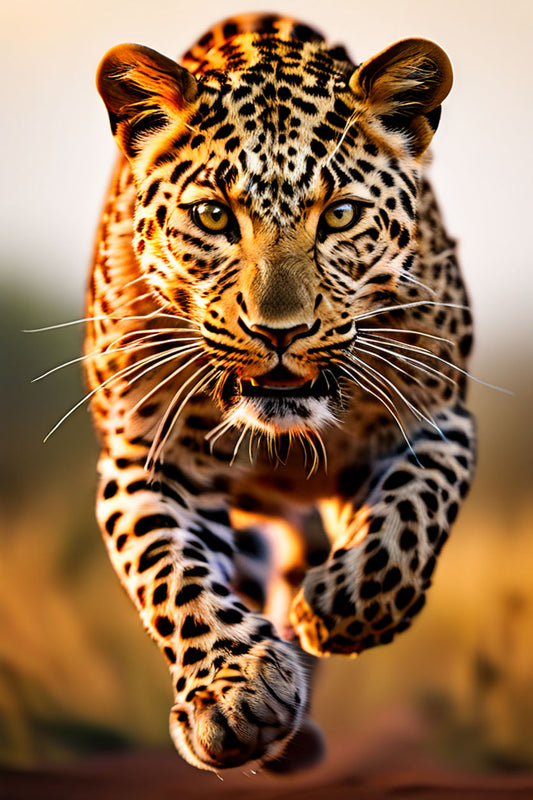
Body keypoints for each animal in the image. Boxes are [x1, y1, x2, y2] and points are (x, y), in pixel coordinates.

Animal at [85, 12, 476, 776]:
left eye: (341, 216)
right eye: (212, 216)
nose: (279, 331)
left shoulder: (438, 415)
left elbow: (412, 512)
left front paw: (345, 606)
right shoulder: (148, 456)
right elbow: (169, 571)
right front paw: (231, 695)